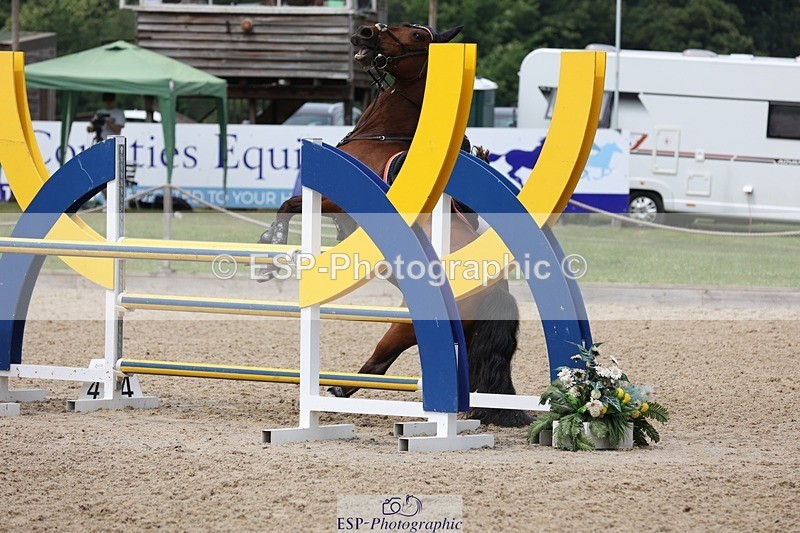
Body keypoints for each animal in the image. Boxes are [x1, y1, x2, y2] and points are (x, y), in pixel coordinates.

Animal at [258, 23, 531, 427]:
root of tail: (496, 290)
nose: (364, 33)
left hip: (408, 324)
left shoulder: (338, 203)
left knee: (382, 359)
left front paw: (272, 243)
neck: (380, 135)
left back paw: (340, 391)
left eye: (418, 36)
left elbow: (289, 204)